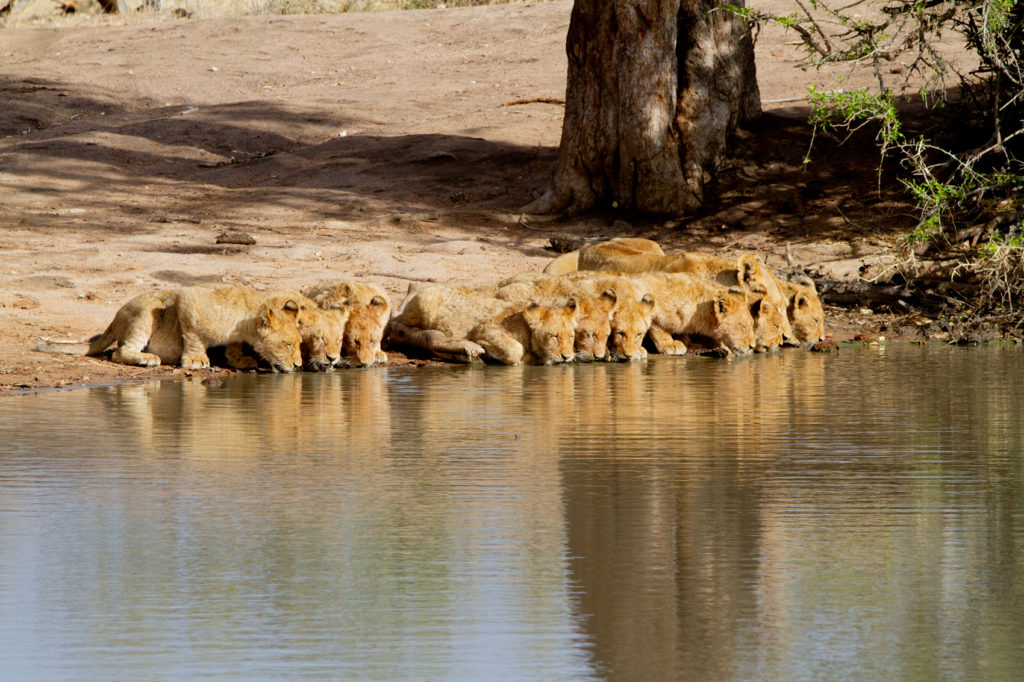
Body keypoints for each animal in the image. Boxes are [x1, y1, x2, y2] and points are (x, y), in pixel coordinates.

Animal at [87, 285, 303, 372]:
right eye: (287, 344)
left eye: (300, 343)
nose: (298, 366)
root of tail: (113, 321)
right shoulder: (187, 298)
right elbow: (193, 335)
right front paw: (196, 360)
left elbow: (233, 345)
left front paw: (238, 359)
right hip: (150, 307)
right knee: (120, 352)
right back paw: (147, 358)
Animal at [388, 285, 579, 365]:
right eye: (554, 336)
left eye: (571, 336)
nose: (567, 357)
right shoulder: (484, 329)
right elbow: (515, 350)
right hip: (425, 302)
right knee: (399, 325)